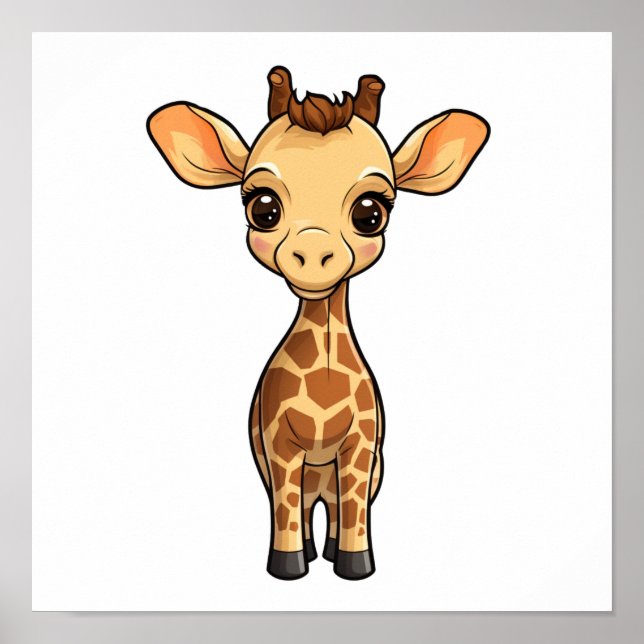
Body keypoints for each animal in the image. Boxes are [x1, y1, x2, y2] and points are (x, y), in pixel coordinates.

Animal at [147, 66, 489, 580]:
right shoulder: (279, 447)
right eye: (263, 206)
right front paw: (288, 567)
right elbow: (287, 509)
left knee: (337, 507)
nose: (311, 254)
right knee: (302, 506)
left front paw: (355, 566)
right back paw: (309, 551)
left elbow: (355, 510)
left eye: (371, 212)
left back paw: (328, 552)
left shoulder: (362, 447)